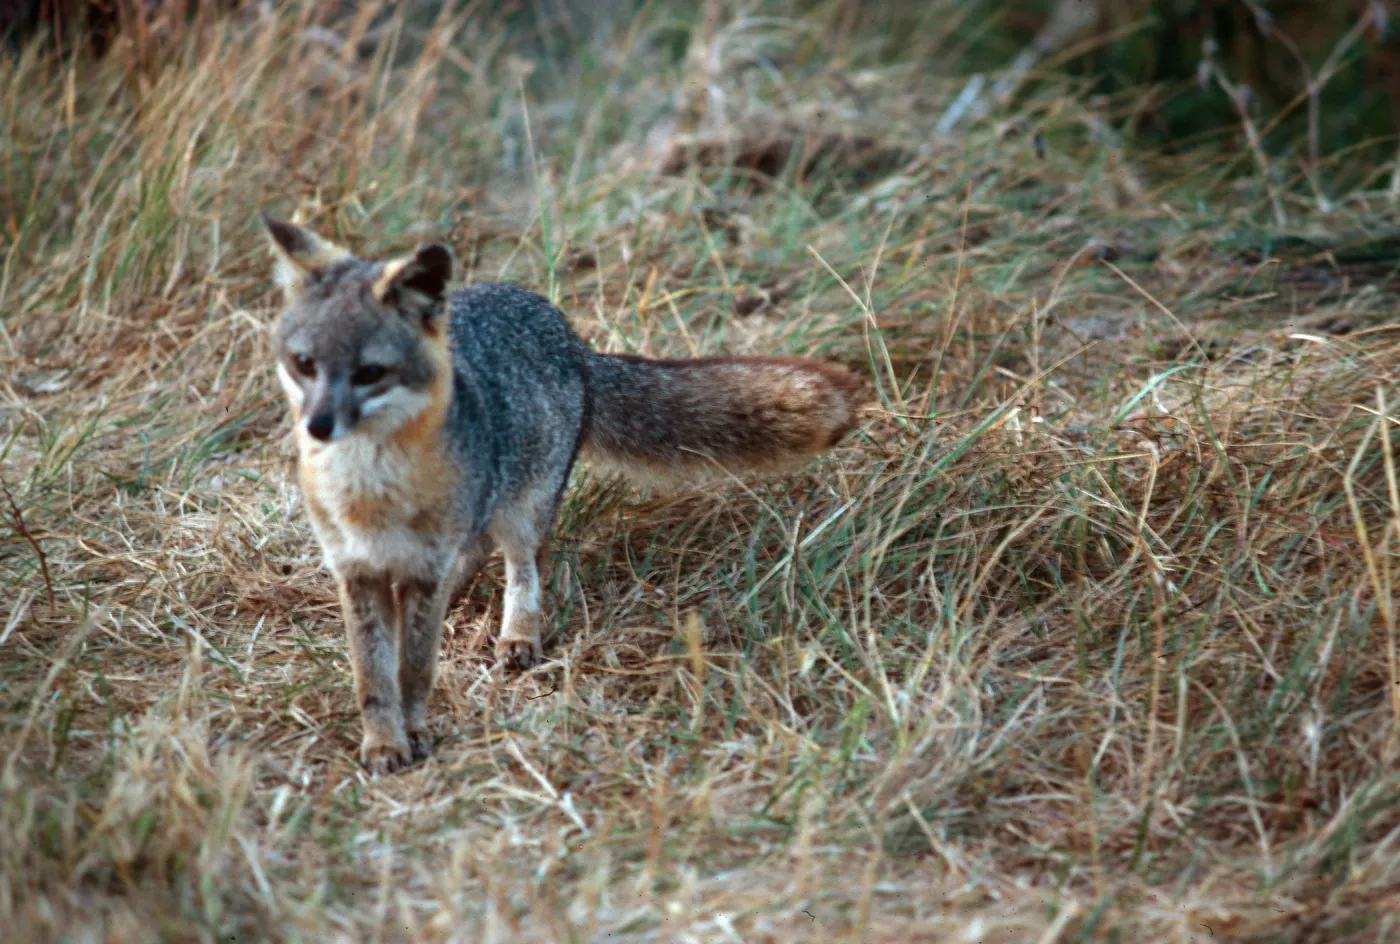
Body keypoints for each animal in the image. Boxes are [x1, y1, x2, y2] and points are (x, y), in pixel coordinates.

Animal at [258, 213, 863, 774]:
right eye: (304, 364)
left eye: (369, 373)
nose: (318, 425)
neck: (369, 494)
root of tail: (566, 334)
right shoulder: (356, 571)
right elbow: (373, 676)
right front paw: (383, 742)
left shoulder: (424, 566)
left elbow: (412, 670)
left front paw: (415, 732)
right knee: (477, 551)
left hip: (524, 510)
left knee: (523, 565)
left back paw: (518, 634)